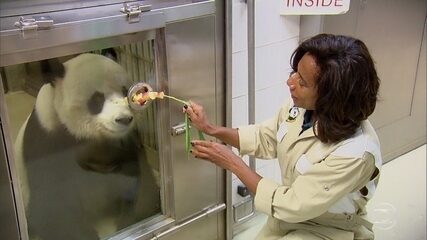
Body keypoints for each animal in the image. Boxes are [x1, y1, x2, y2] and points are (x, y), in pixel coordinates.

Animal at [14, 53, 160, 239]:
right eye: (97, 99)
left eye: (125, 92)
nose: (123, 119)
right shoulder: (46, 143)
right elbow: (53, 203)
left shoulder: (128, 142)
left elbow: (137, 178)